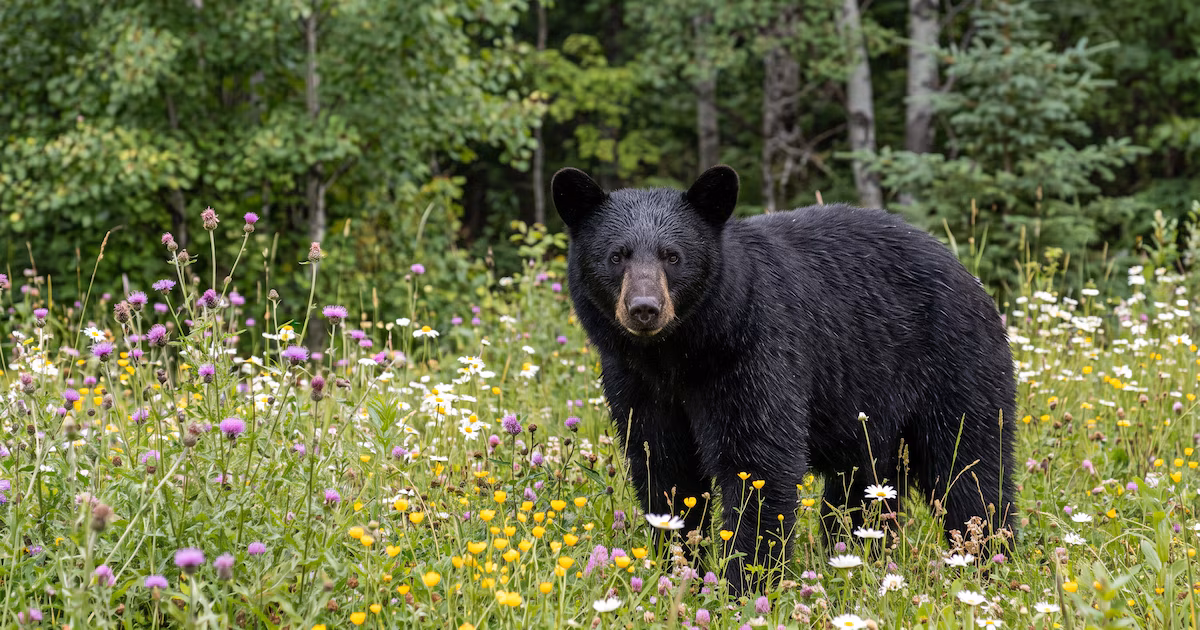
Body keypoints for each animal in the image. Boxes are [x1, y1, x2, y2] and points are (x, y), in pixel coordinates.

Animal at [551, 165, 1017, 595]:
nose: (644, 308)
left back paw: (991, 562)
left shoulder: (754, 351)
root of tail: (969, 276)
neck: (677, 354)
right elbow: (665, 467)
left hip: (955, 367)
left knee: (971, 467)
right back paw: (861, 558)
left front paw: (745, 585)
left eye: (673, 255)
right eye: (617, 255)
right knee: (863, 490)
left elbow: (757, 461)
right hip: (872, 414)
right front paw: (675, 570)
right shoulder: (635, 381)